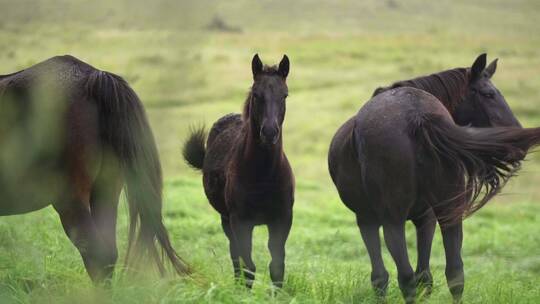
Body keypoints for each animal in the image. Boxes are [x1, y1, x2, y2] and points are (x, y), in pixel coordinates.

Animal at [185, 53, 296, 288]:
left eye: (285, 95)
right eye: (256, 94)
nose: (269, 132)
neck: (264, 175)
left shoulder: (282, 219)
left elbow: (277, 267)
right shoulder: (241, 221)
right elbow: (248, 267)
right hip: (226, 220)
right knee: (235, 256)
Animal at [326, 53, 540, 302]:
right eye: (488, 94)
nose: (519, 148)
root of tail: (418, 116)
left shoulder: (367, 219)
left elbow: (381, 277)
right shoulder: (425, 218)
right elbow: (426, 277)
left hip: (393, 220)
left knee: (406, 277)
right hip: (448, 211)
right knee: (454, 273)